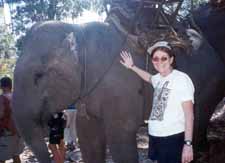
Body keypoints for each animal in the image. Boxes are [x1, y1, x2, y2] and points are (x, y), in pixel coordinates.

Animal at [11, 20, 225, 163]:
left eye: (38, 75)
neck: (79, 32)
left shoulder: (121, 88)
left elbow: (120, 137)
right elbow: (89, 137)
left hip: (208, 83)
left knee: (196, 119)